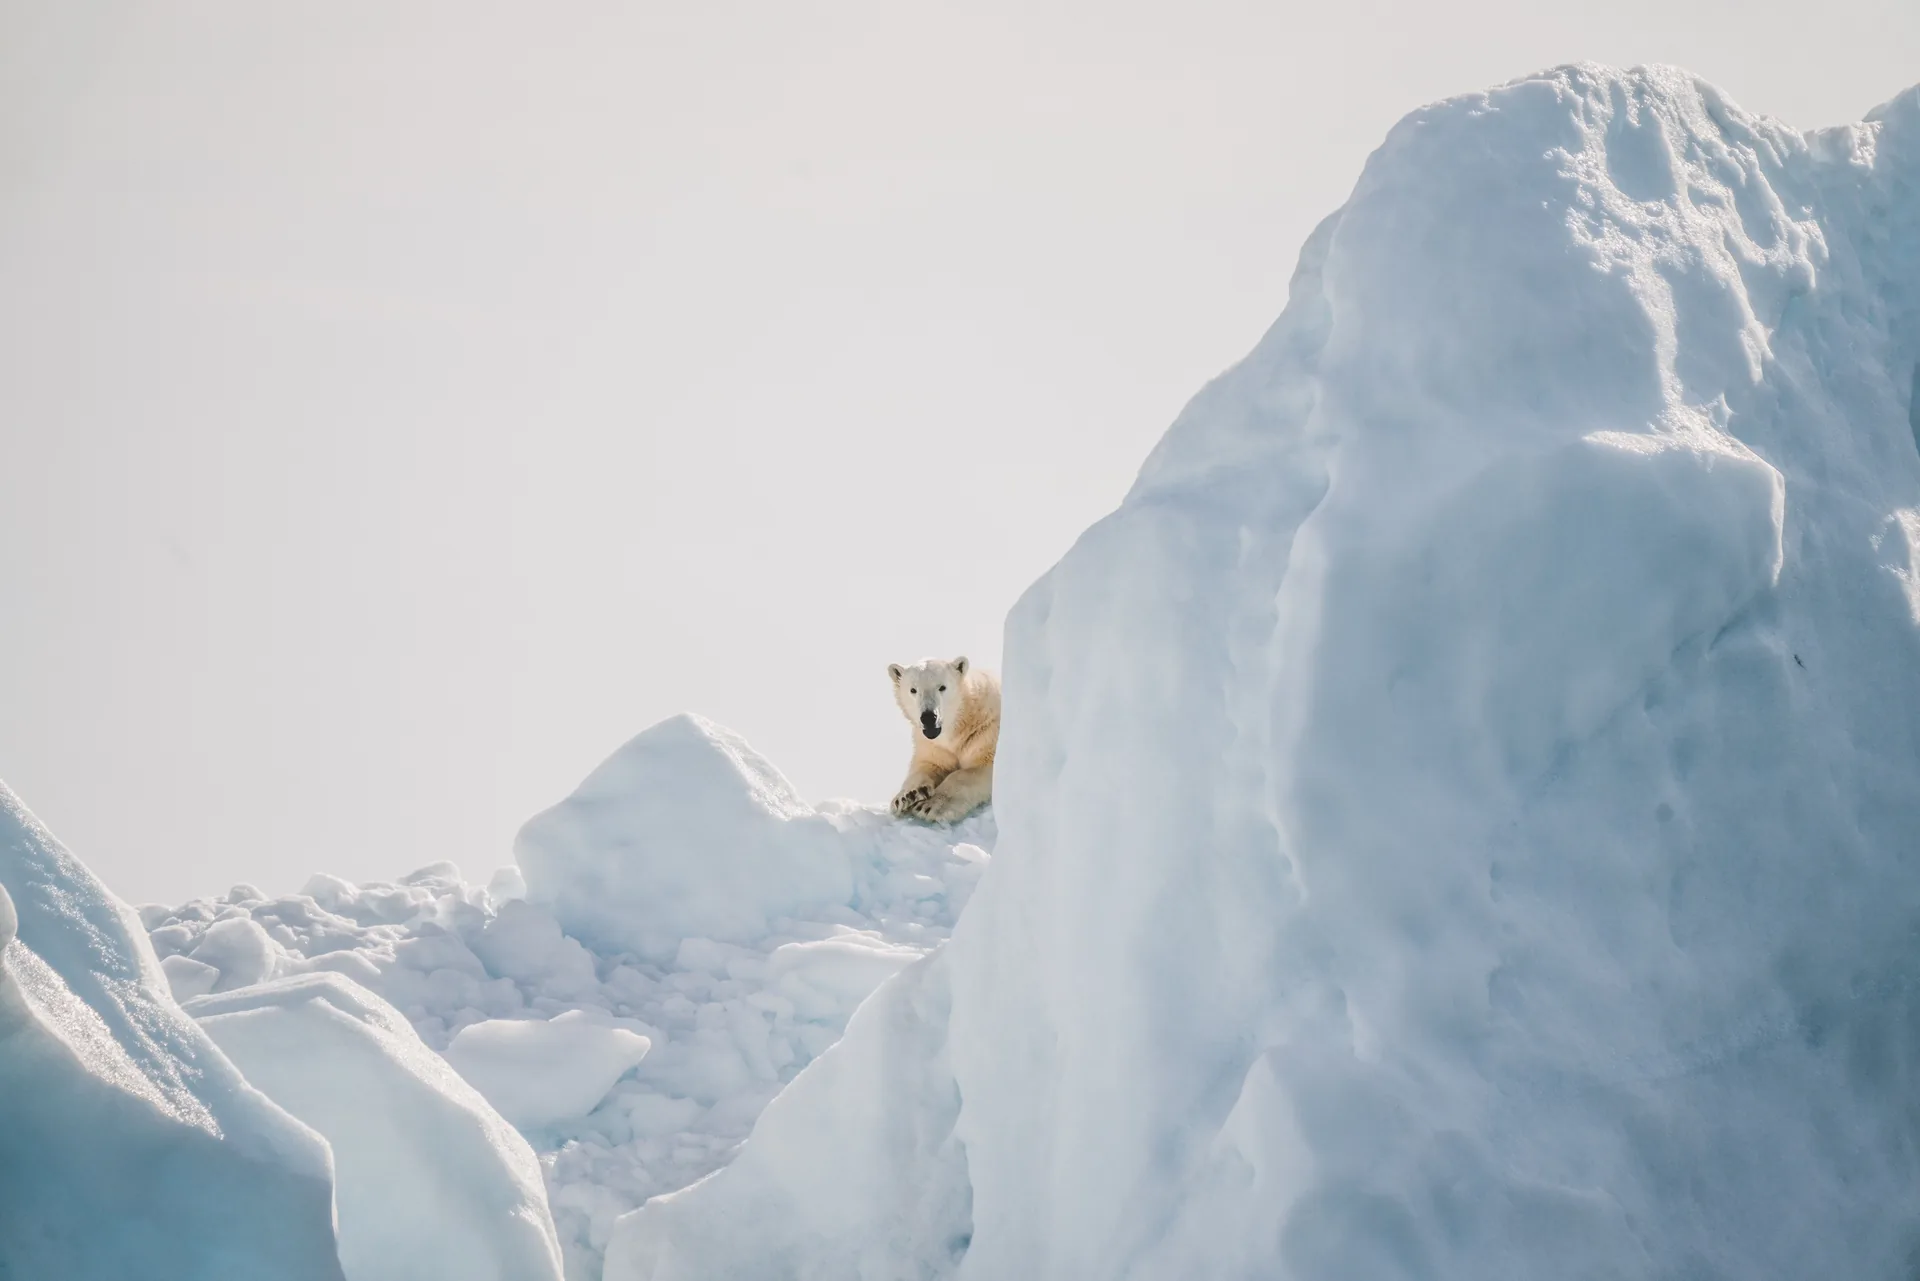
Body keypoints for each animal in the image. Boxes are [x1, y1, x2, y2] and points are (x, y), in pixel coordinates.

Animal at [887, 655, 1000, 823]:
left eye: (942, 687)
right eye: (913, 690)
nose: (928, 717)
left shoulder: (986, 732)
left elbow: (974, 769)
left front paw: (930, 806)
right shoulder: (934, 746)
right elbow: (929, 764)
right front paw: (908, 796)